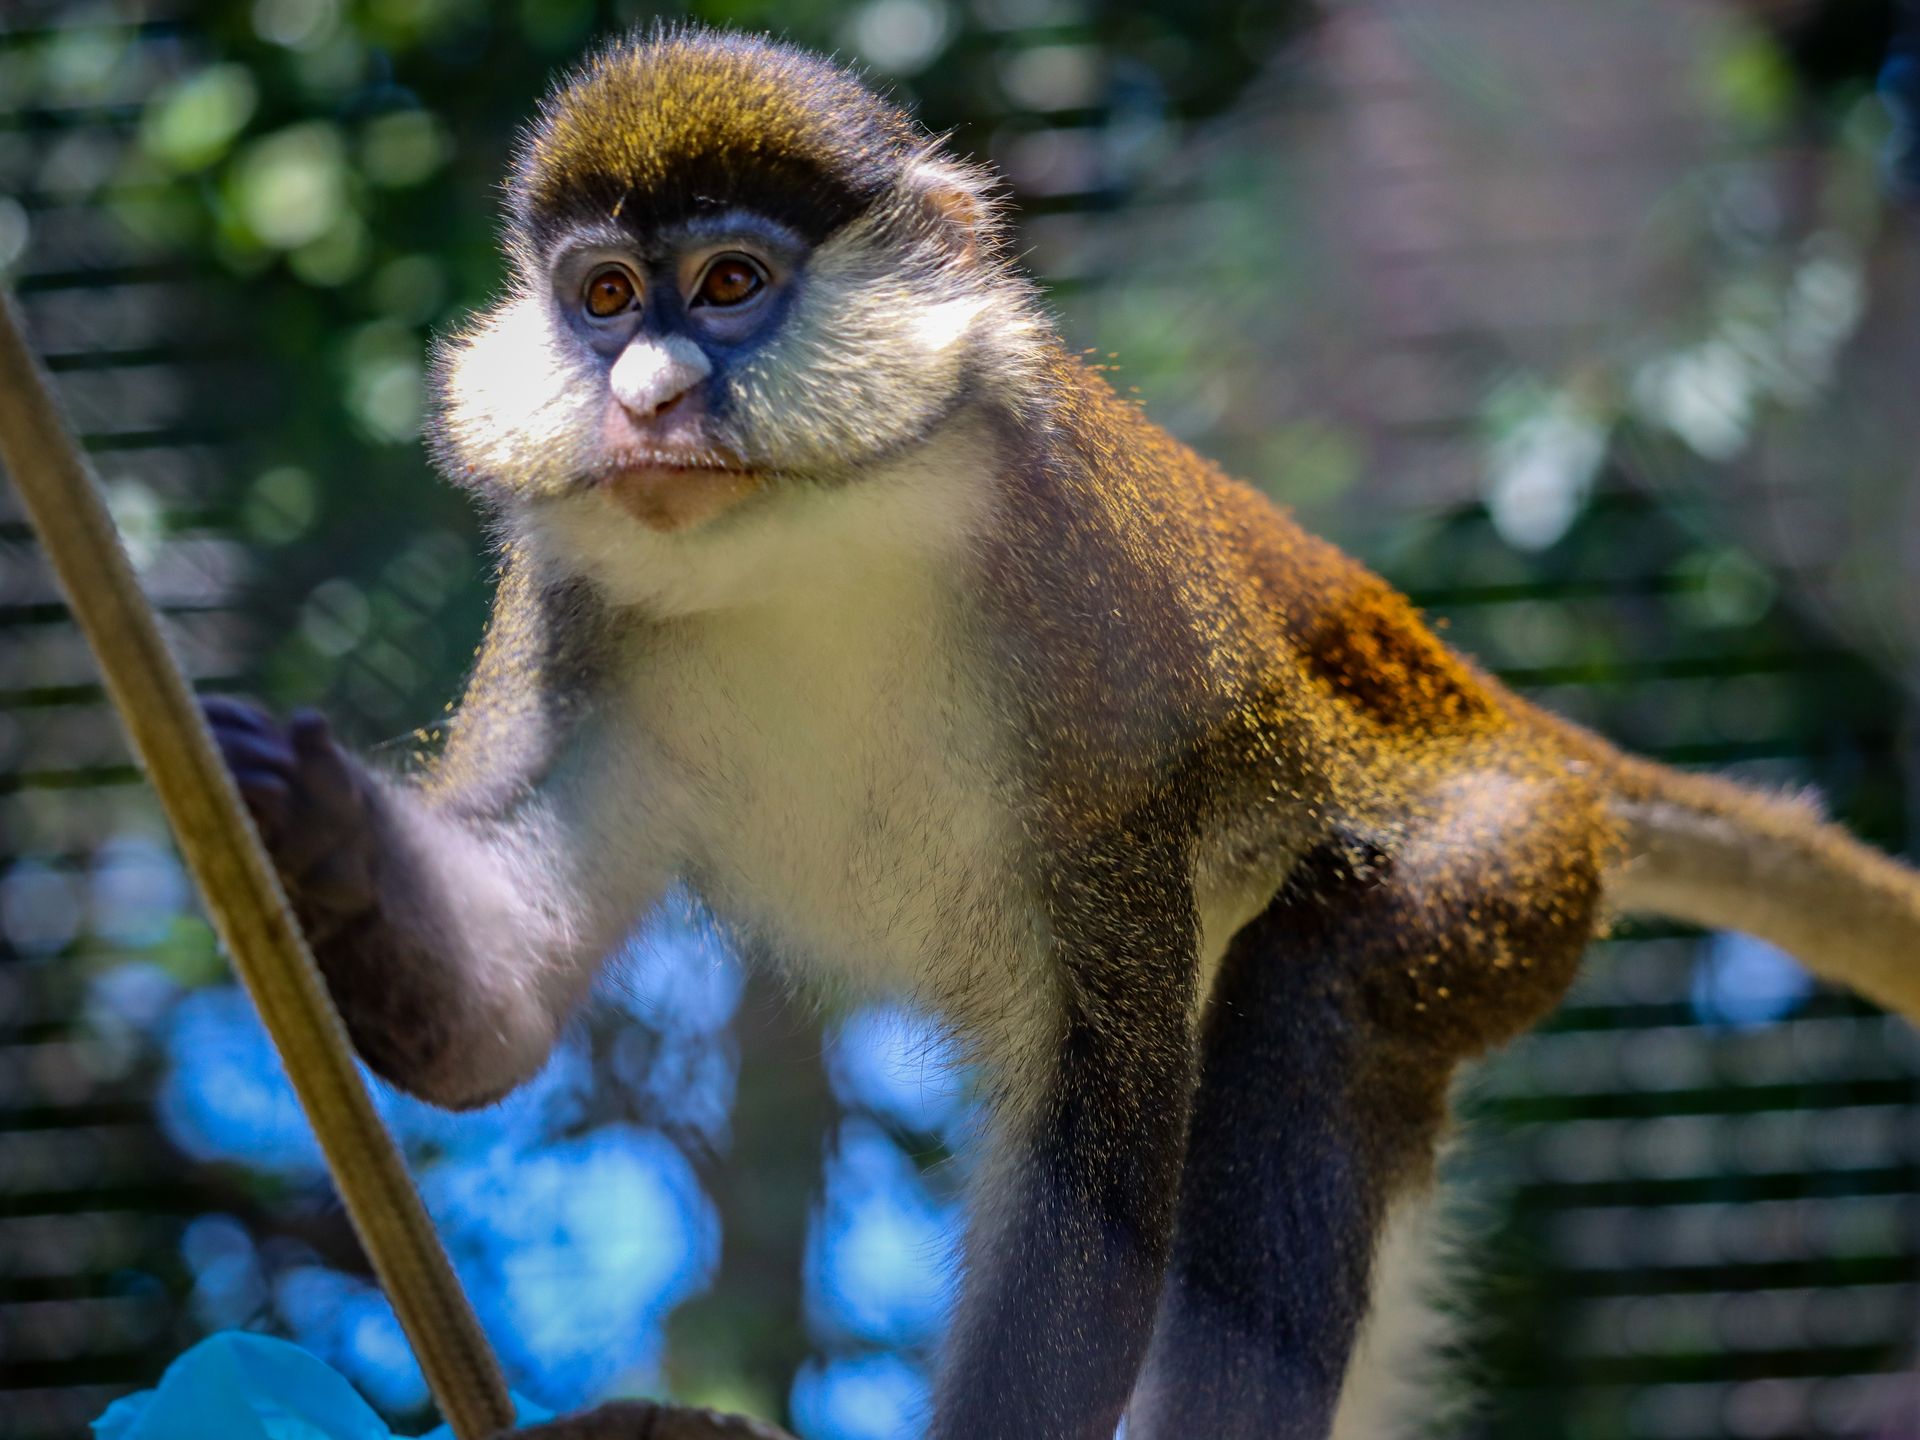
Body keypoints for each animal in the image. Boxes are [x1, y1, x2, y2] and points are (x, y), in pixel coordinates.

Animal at [202, 28, 1920, 1440]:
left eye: (731, 285)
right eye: (605, 296)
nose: (643, 397)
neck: (818, 540)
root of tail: (1530, 738)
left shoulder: (1078, 598)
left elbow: (1107, 1099)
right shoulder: (571, 604)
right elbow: (500, 996)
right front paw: (305, 829)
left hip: (1502, 863)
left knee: (1310, 1019)